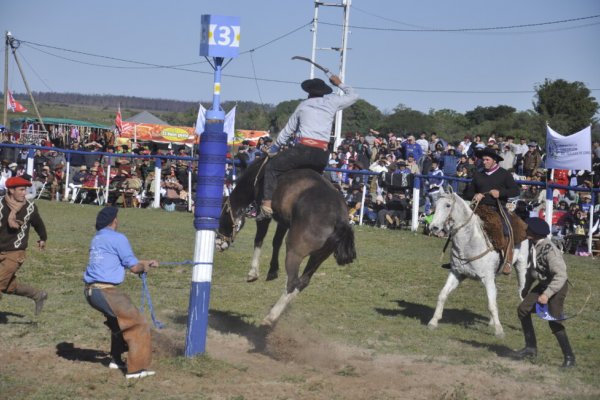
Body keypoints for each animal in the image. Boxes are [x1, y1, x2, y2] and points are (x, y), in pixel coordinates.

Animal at [424, 188, 528, 338]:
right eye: (435, 204)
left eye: (448, 205)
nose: (434, 227)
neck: (470, 242)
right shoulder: (457, 273)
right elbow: (443, 294)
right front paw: (433, 321)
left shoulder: (487, 277)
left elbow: (491, 304)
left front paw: (499, 331)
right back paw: (491, 322)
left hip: (521, 265)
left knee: (521, 291)